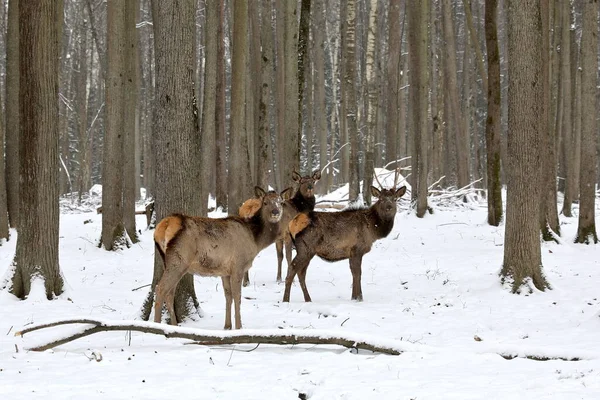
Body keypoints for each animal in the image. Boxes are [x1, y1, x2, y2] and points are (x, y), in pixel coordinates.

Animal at [152, 186, 288, 330]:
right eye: (265, 202)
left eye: (280, 202)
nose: (275, 212)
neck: (255, 240)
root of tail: (164, 225)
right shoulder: (238, 265)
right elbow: (237, 296)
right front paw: (239, 327)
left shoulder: (225, 271)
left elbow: (228, 296)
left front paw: (227, 325)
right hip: (179, 260)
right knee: (160, 289)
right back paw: (157, 325)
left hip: (168, 261)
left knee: (170, 293)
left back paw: (174, 326)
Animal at [282, 169, 408, 304]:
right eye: (381, 199)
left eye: (395, 199)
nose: (389, 207)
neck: (373, 230)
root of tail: (292, 222)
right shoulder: (357, 248)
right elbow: (358, 273)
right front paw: (359, 298)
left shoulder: (351, 252)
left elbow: (353, 273)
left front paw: (354, 297)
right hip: (305, 248)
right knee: (293, 269)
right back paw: (285, 300)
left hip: (307, 250)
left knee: (301, 272)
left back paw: (308, 299)